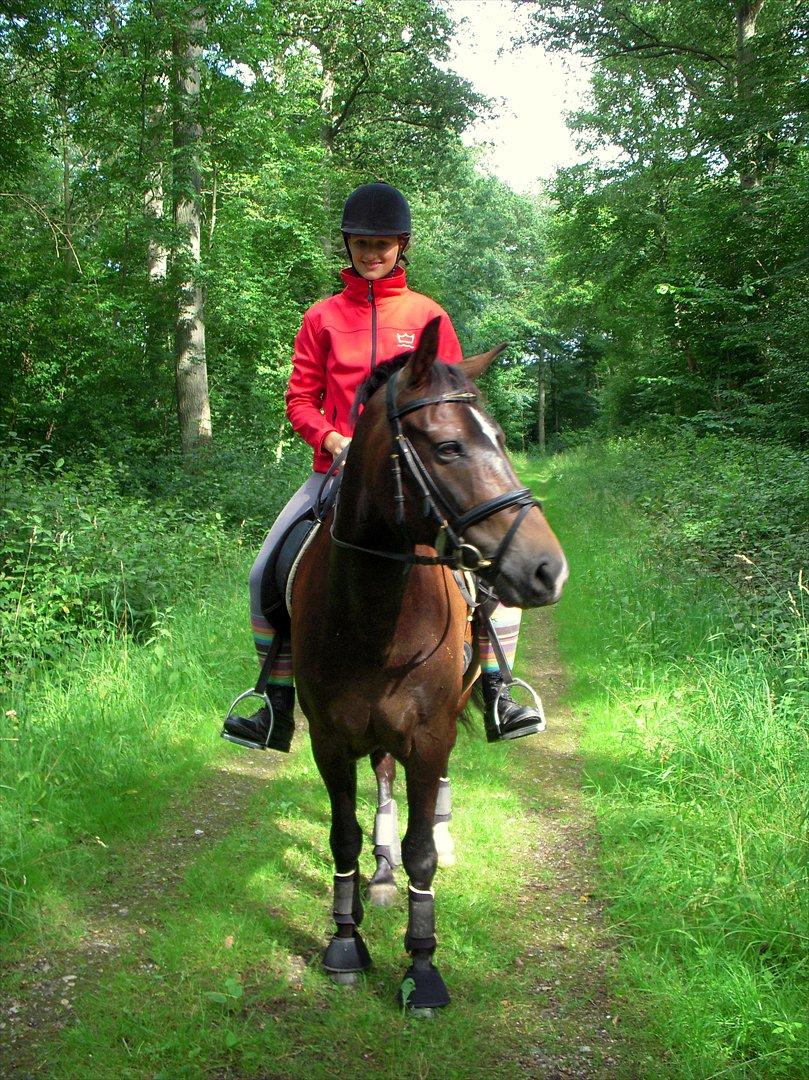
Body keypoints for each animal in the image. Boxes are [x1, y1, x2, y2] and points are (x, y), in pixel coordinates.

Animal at [290, 318, 567, 1011]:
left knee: (430, 794)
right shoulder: (331, 739)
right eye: (447, 448)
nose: (548, 569)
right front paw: (345, 941)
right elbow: (342, 836)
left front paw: (422, 967)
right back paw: (382, 874)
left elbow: (422, 854)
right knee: (385, 780)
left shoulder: (430, 732)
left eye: (500, 439)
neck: (374, 618)